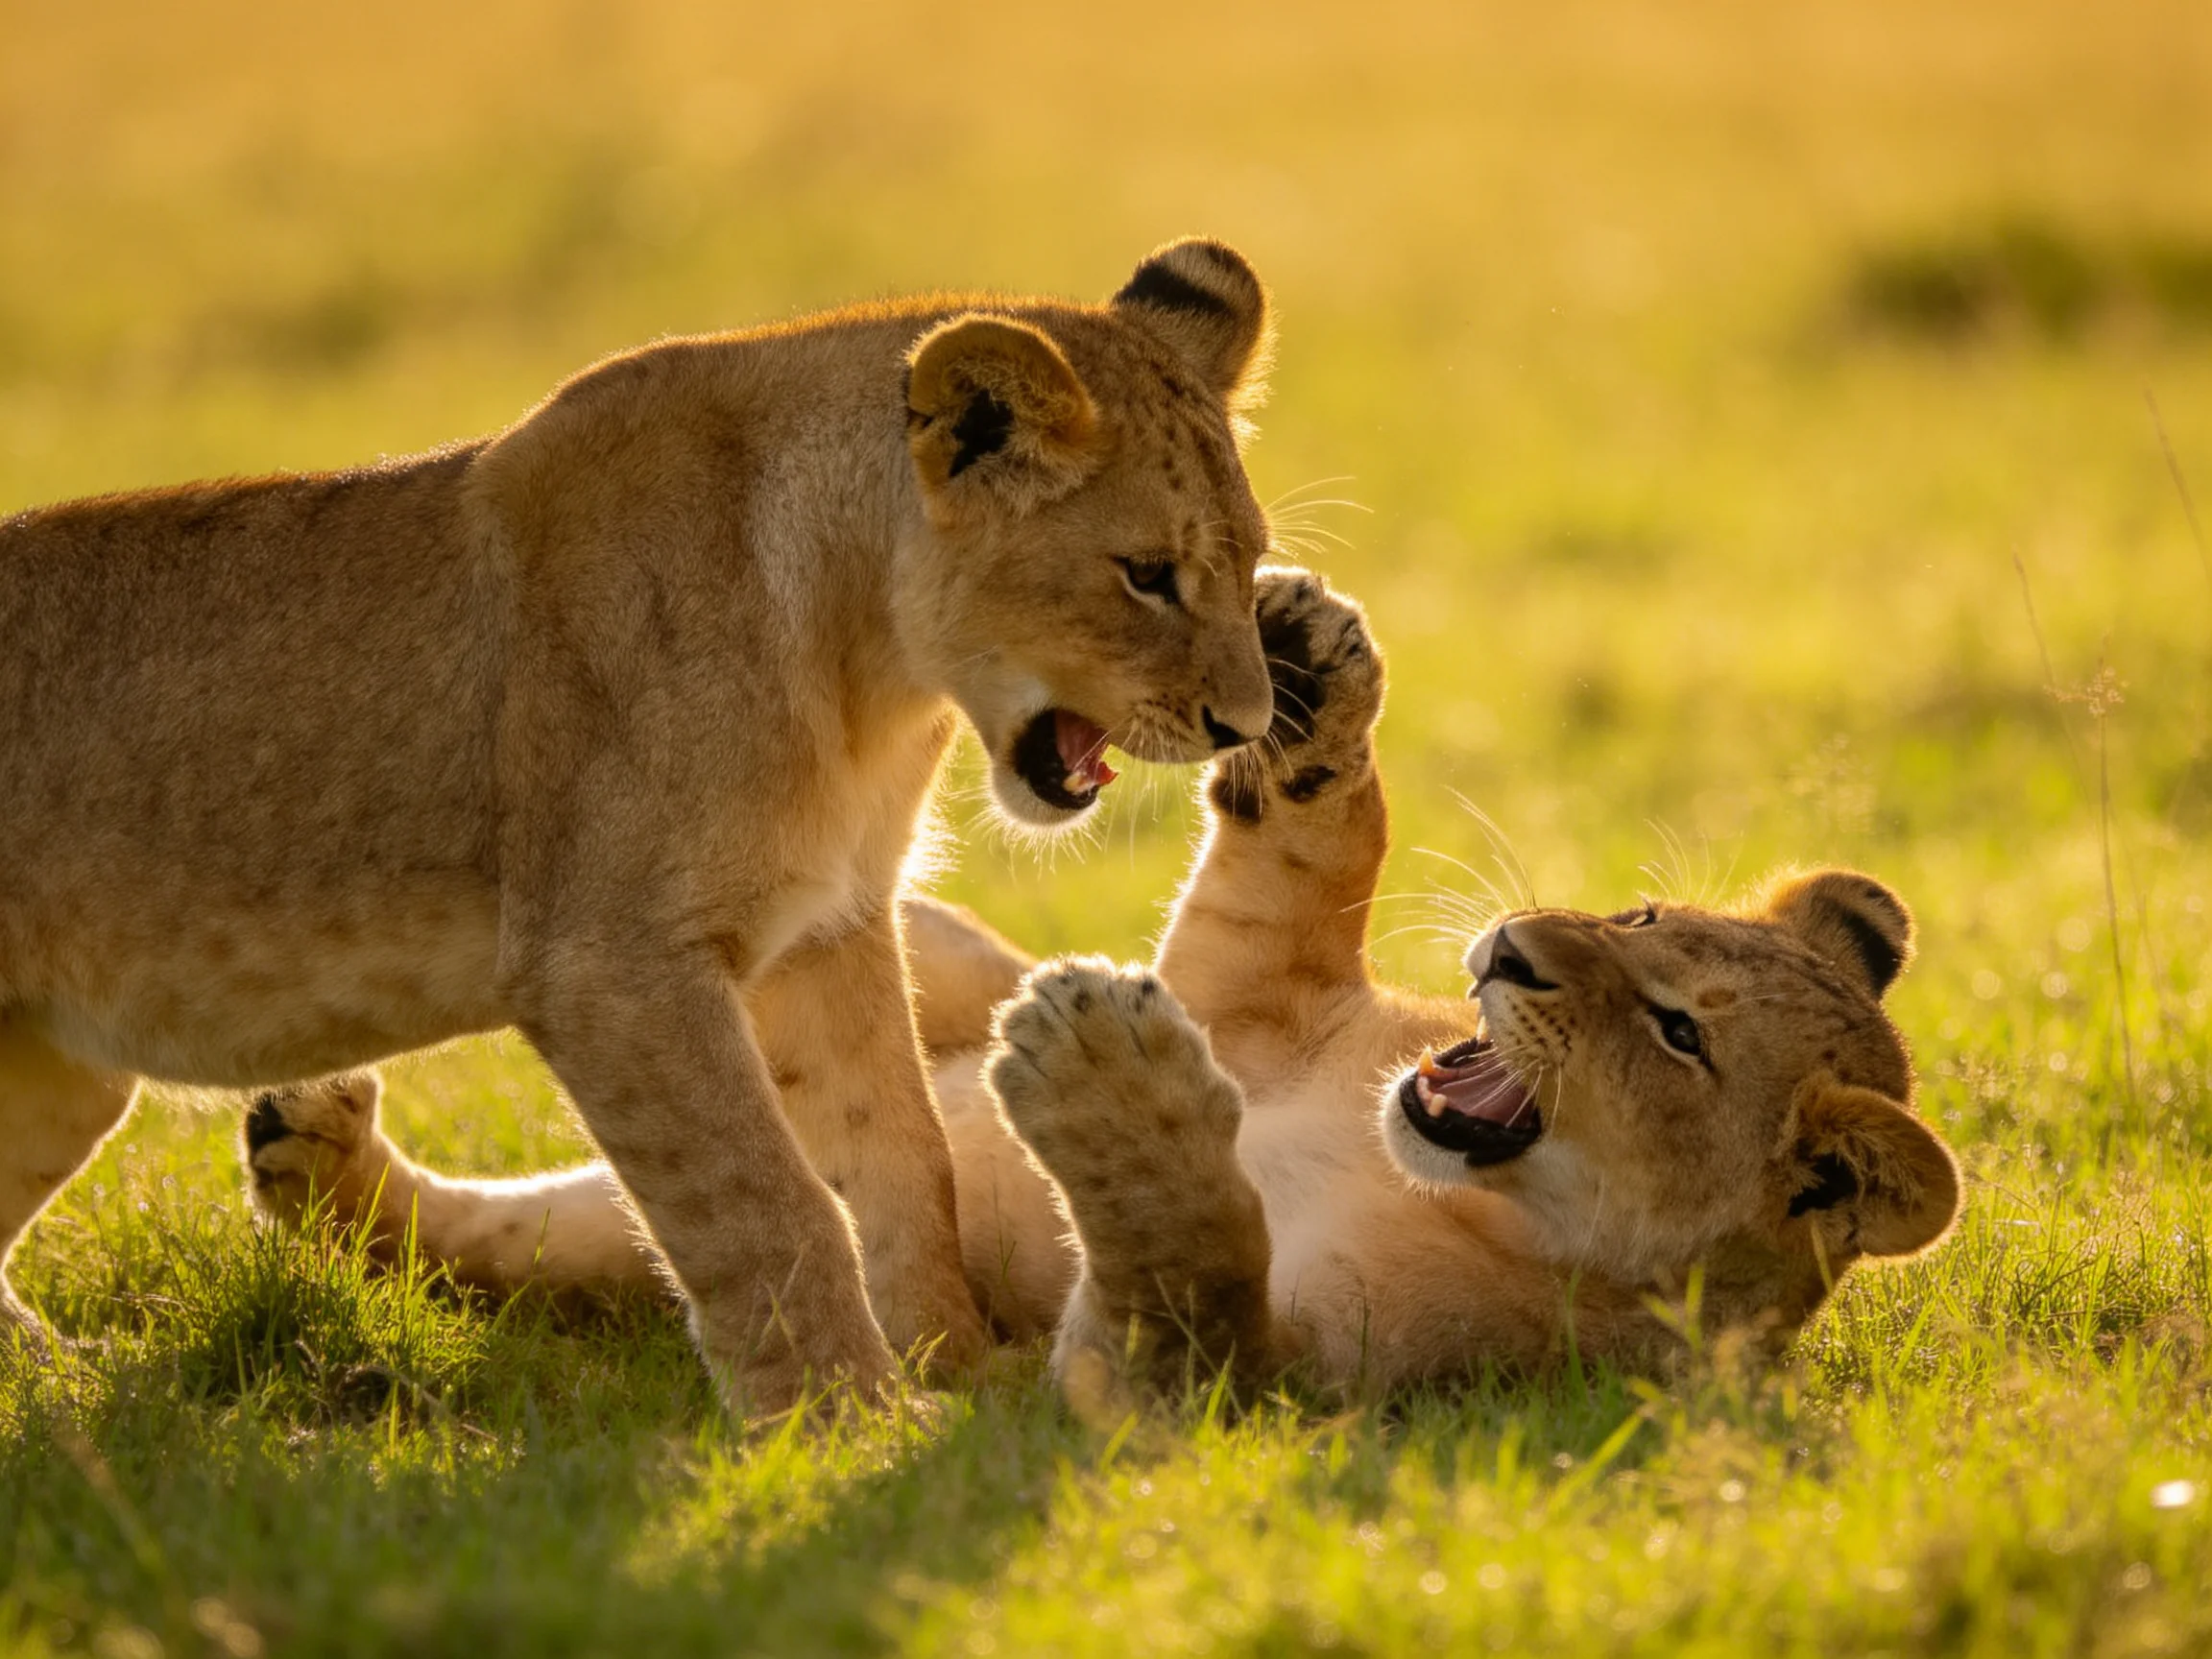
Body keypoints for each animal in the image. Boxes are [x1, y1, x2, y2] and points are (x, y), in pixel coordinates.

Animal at [0, 238, 1284, 1415]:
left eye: (1250, 561)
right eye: (1147, 573)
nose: (1249, 723)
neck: (873, 674)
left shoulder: (829, 928)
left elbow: (904, 1160)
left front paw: (952, 1376)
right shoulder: (609, 963)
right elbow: (766, 1201)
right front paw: (845, 1420)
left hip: (54, 1075)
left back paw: (60, 1384)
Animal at [238, 570, 1961, 1410]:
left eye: (1675, 1034)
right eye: (1639, 909)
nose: (1513, 951)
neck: (1428, 1167)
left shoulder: (1273, 1395)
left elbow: (1192, 1301)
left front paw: (1106, 1091)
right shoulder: (1251, 990)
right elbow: (1309, 854)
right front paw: (1311, 675)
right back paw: (311, 1137)